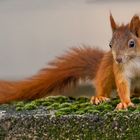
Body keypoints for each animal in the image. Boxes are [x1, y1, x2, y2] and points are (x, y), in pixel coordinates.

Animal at [0, 13, 140, 109]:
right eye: (110, 45)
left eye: (132, 44)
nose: (118, 59)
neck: (134, 60)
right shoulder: (120, 69)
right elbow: (122, 83)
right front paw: (125, 103)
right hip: (106, 67)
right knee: (103, 84)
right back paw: (99, 97)